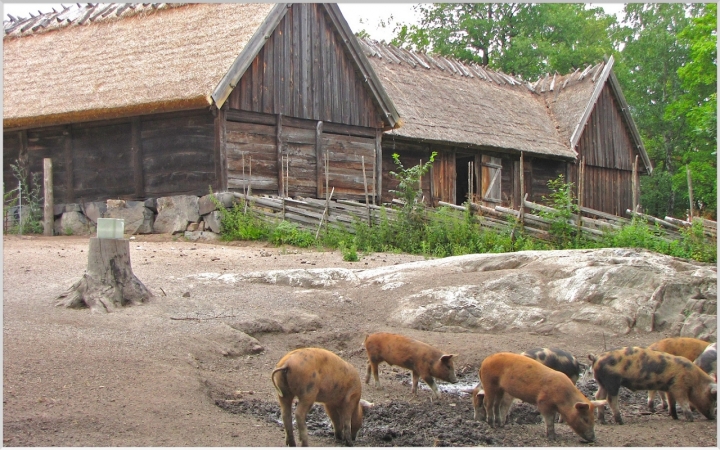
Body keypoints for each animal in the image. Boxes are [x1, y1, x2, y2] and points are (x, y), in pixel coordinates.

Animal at [478, 350, 608, 442]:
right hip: (489, 383)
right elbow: (549, 419)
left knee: (496, 404)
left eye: (593, 418)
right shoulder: (543, 402)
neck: (564, 397)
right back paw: (492, 425)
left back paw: (499, 424)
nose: (593, 439)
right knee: (488, 402)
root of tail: (484, 361)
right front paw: (552, 438)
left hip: (500, 388)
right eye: (585, 419)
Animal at [588, 346, 716, 424]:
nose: (713, 417)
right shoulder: (679, 386)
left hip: (602, 383)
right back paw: (620, 421)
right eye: (712, 398)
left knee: (599, 396)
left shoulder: (670, 387)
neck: (694, 379)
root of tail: (596, 357)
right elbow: (683, 402)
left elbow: (672, 402)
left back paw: (603, 421)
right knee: (610, 399)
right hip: (612, 381)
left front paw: (674, 417)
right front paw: (691, 419)